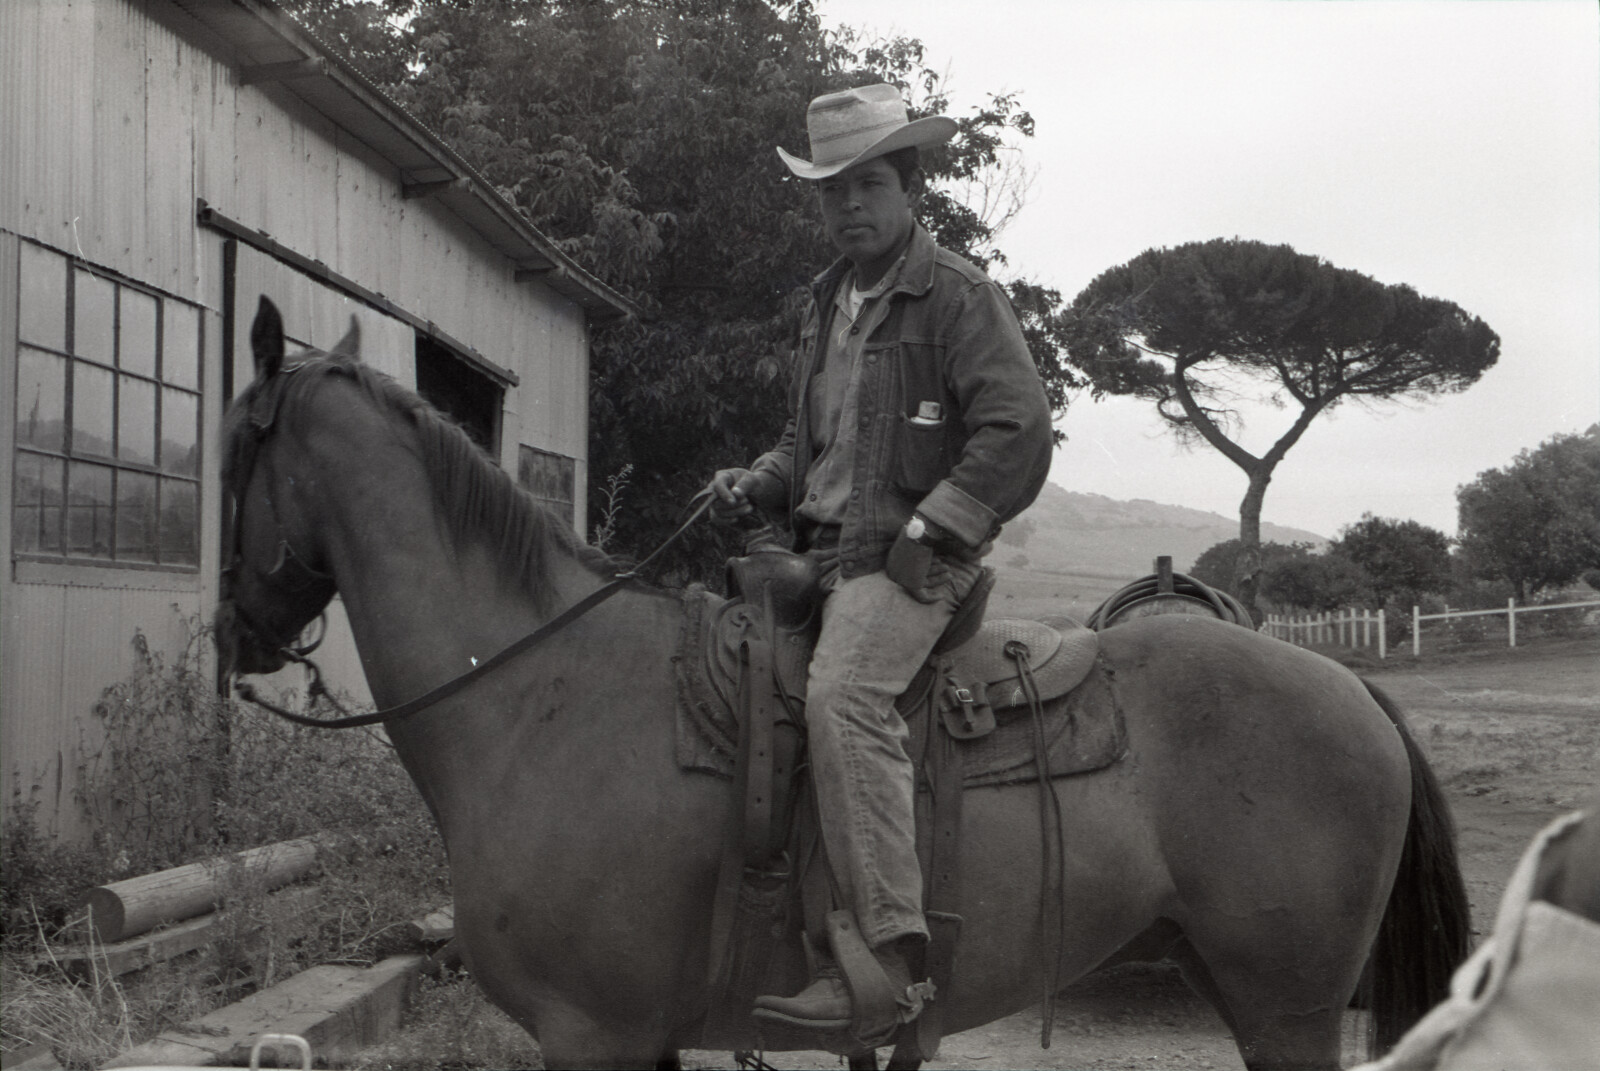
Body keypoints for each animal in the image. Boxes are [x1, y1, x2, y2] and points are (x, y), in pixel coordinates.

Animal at [219, 299, 1465, 1069]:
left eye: (234, 450)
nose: (235, 636)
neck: (541, 693)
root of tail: (1349, 690)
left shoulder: (589, 1032)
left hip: (1288, 1001)